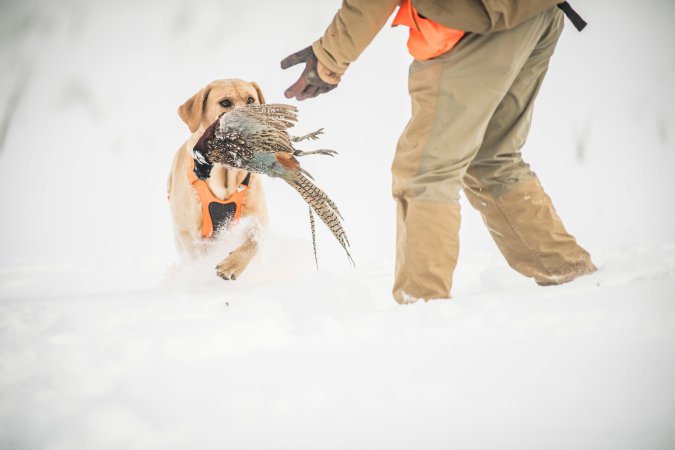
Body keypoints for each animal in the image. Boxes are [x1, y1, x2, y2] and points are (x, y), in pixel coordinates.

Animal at [168, 79, 268, 280]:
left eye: (251, 100)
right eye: (225, 103)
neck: (226, 178)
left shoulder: (259, 218)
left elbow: (252, 242)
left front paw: (232, 264)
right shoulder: (187, 231)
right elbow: (197, 255)